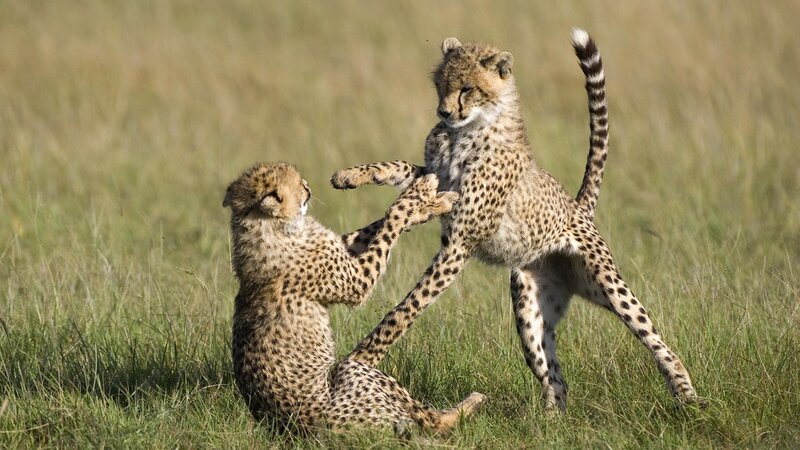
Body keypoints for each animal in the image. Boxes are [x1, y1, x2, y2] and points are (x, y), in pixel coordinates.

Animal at [223, 162, 485, 436]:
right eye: (296, 184)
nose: (307, 185)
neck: (267, 228)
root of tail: (297, 428)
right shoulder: (358, 281)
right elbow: (393, 216)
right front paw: (420, 193)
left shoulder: (341, 247)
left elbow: (374, 225)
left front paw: (432, 203)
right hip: (354, 372)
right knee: (433, 423)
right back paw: (472, 402)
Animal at [330, 29, 699, 412]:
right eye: (440, 84)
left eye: (467, 88)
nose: (443, 111)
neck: (467, 130)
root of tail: (577, 207)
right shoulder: (438, 181)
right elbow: (401, 175)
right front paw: (352, 177)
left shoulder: (460, 241)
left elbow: (406, 307)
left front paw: (363, 357)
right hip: (529, 311)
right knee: (554, 378)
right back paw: (549, 421)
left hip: (608, 286)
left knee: (653, 337)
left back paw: (688, 398)